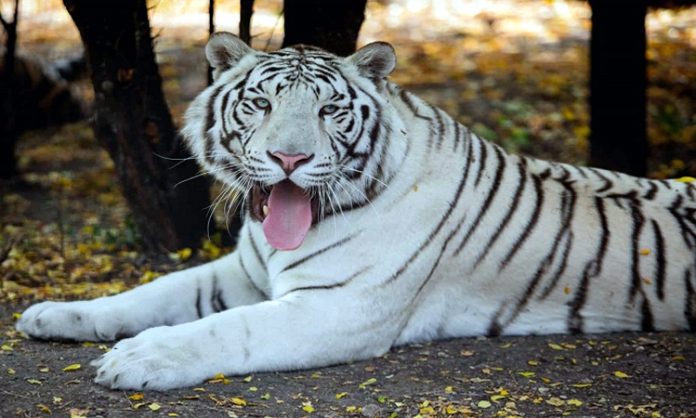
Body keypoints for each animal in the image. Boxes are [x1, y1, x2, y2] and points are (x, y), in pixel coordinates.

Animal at [16, 33, 696, 392]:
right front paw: (54, 314)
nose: (289, 158)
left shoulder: (338, 307)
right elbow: (147, 293)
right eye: (261, 104)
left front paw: (139, 359)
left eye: (328, 111)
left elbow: (225, 330)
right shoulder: (242, 273)